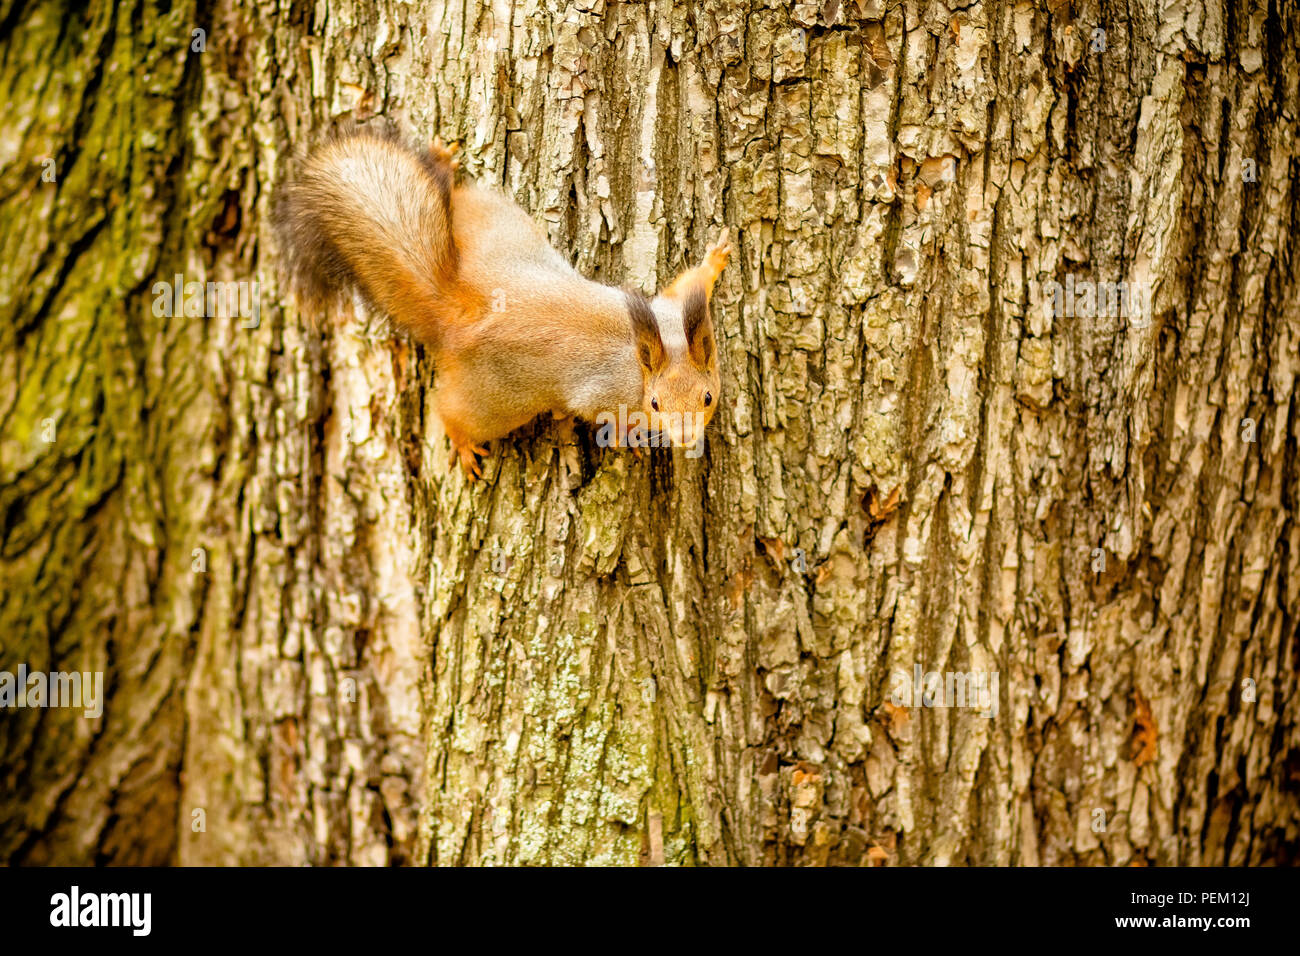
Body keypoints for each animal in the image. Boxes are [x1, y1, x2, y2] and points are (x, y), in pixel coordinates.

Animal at [273, 126, 731, 479]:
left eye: (708, 398)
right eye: (655, 403)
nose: (686, 437)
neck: (644, 360)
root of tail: (458, 309)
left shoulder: (670, 310)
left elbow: (686, 284)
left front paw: (714, 260)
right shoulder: (603, 393)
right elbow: (603, 417)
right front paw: (629, 438)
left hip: (489, 223)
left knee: (452, 197)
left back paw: (441, 164)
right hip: (495, 402)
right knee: (452, 412)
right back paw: (463, 443)